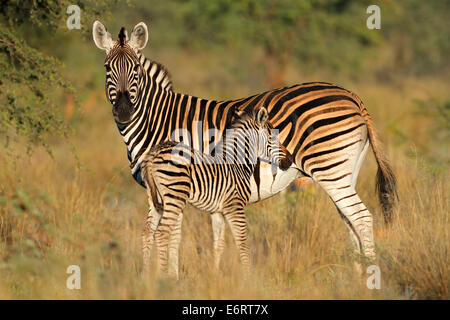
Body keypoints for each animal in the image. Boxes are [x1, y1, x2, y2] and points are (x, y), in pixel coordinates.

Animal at [140, 107, 292, 278]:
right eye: (273, 137)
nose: (290, 160)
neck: (237, 165)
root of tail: (153, 153)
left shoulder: (217, 212)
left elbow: (219, 245)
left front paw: (215, 275)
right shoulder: (235, 206)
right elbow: (242, 243)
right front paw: (248, 278)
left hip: (155, 198)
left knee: (147, 233)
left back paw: (145, 276)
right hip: (175, 194)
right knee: (161, 233)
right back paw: (161, 276)